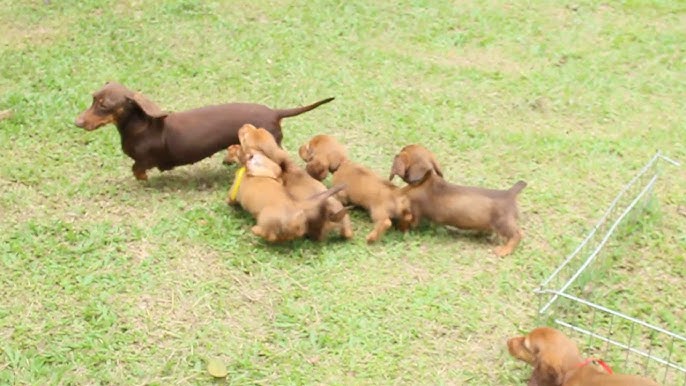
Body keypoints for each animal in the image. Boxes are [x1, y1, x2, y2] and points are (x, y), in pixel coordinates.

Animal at [390, 144, 528, 256]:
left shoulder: (413, 213)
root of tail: (510, 193)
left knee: (517, 235)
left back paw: (504, 250)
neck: (426, 180)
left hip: (502, 223)